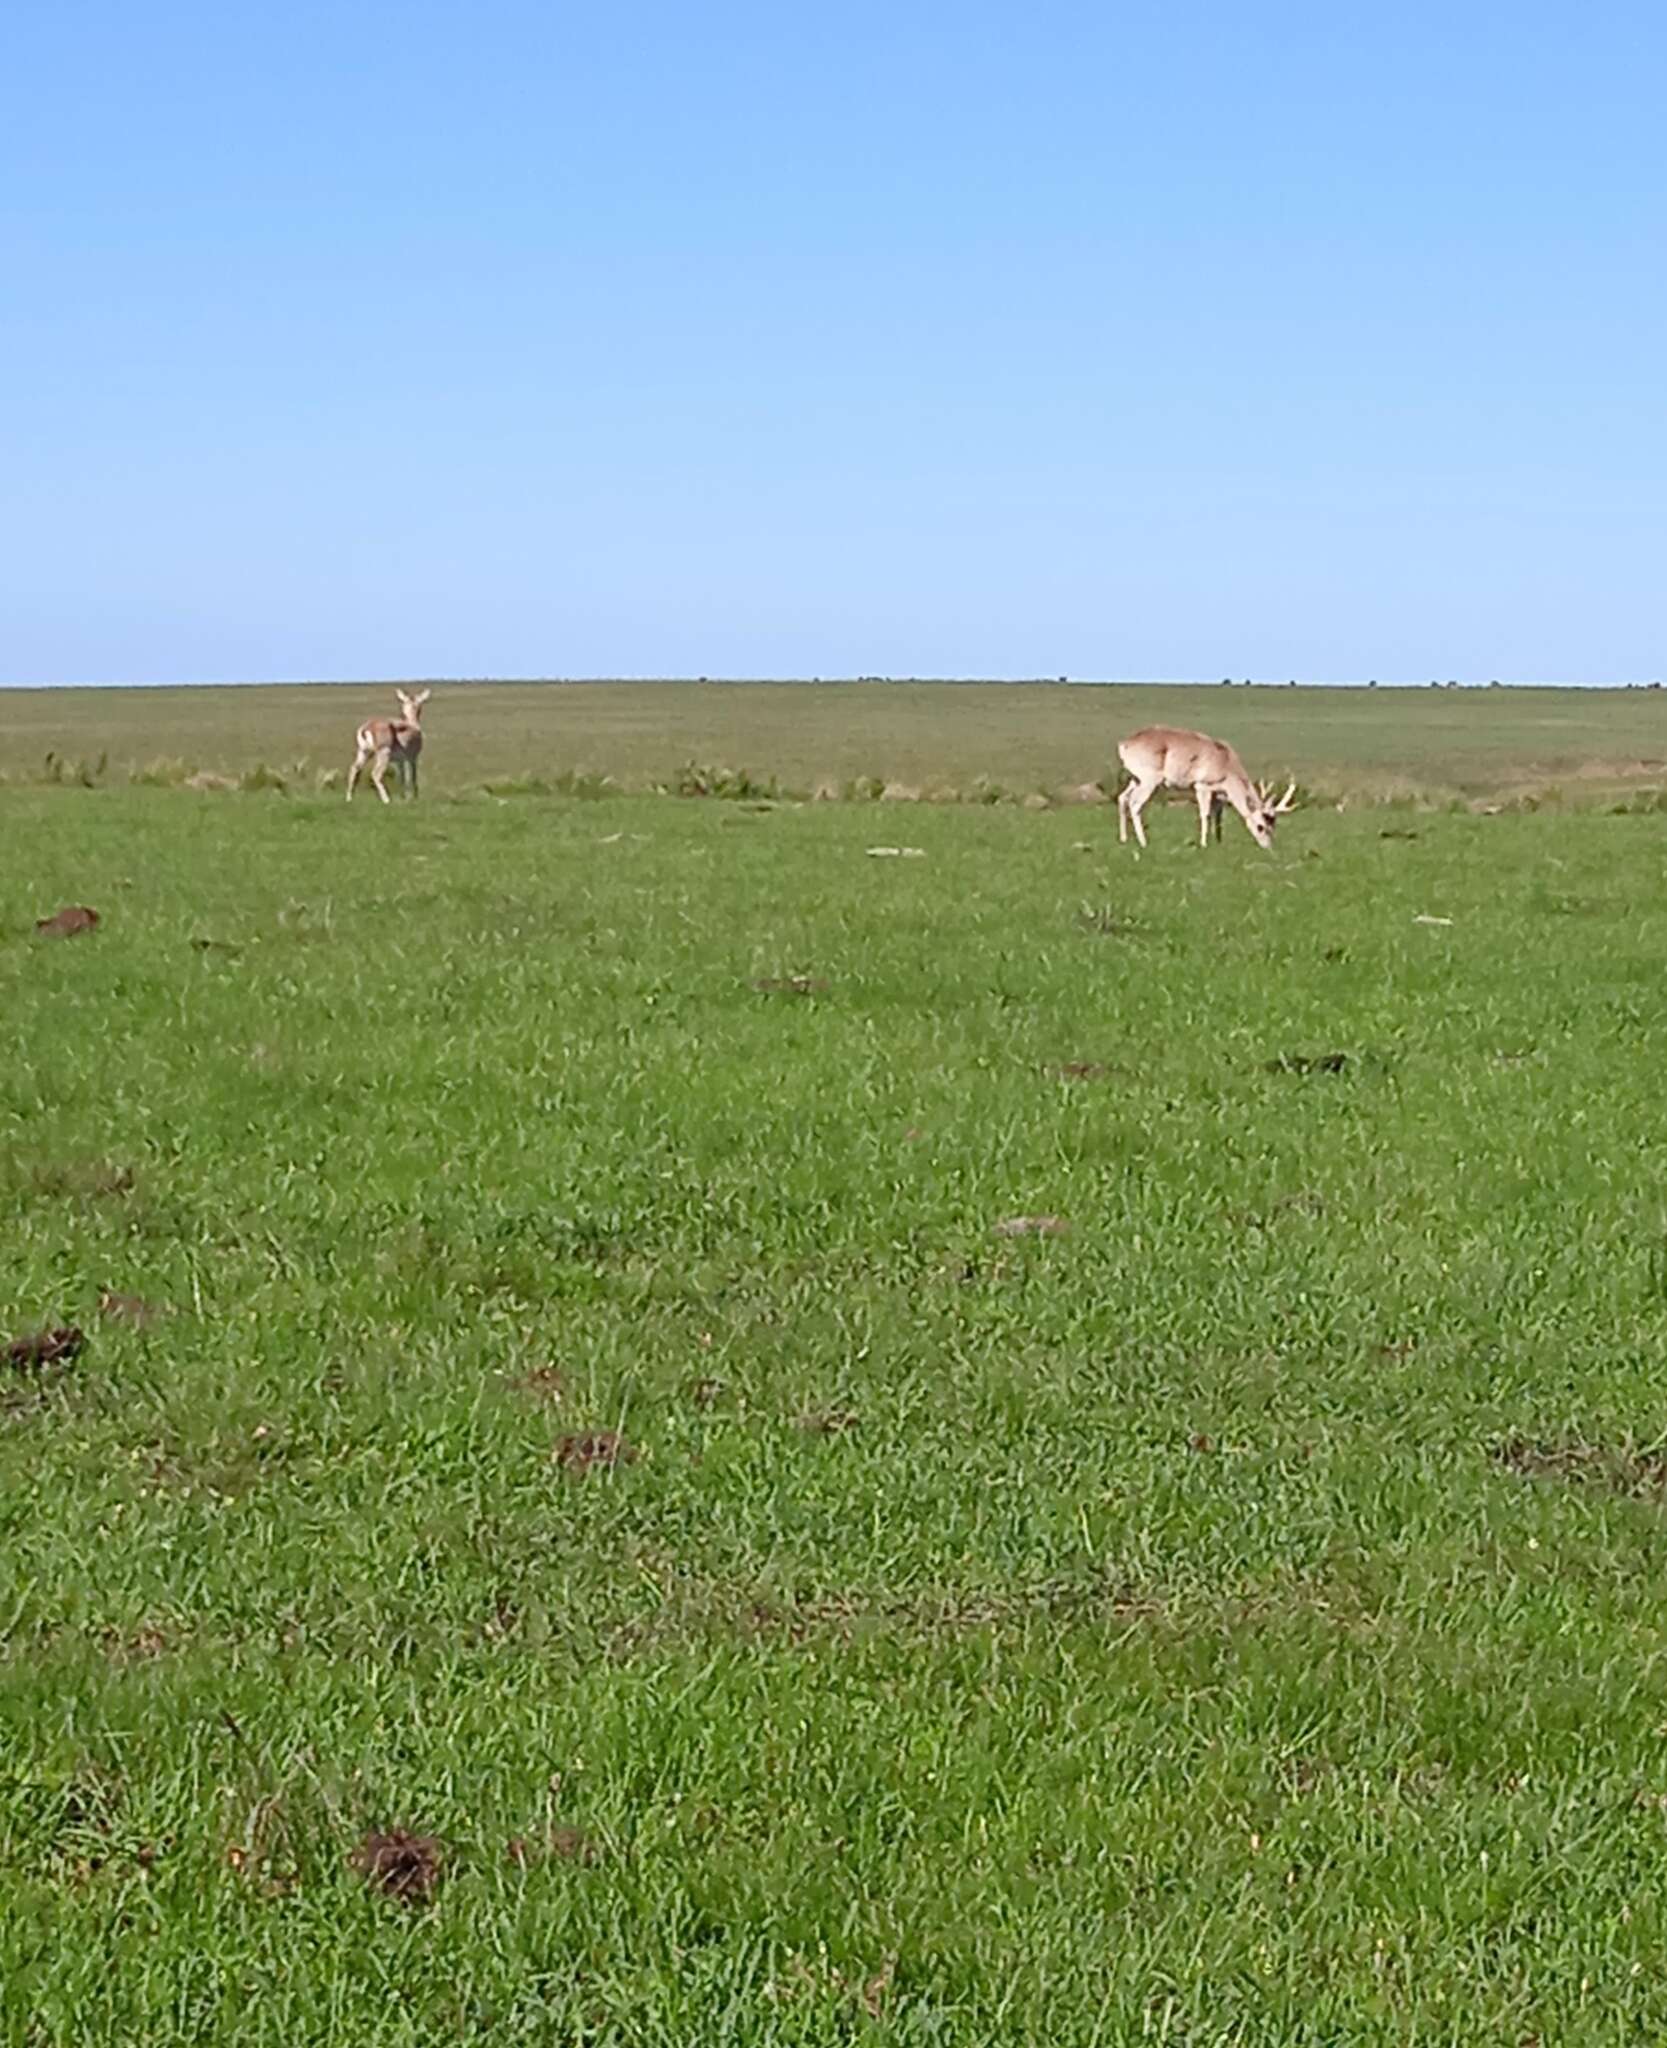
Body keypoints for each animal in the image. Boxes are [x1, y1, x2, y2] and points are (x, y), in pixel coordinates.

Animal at [1114, 729, 1302, 847]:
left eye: (1273, 826)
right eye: (1260, 826)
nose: (1267, 846)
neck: (1226, 761)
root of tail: (1125, 744)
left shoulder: (1219, 793)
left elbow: (1218, 816)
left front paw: (1218, 842)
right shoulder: (1202, 787)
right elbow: (1205, 814)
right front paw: (1204, 843)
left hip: (1135, 780)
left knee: (1122, 798)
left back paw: (1123, 839)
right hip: (1149, 782)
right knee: (1135, 804)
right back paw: (1144, 842)